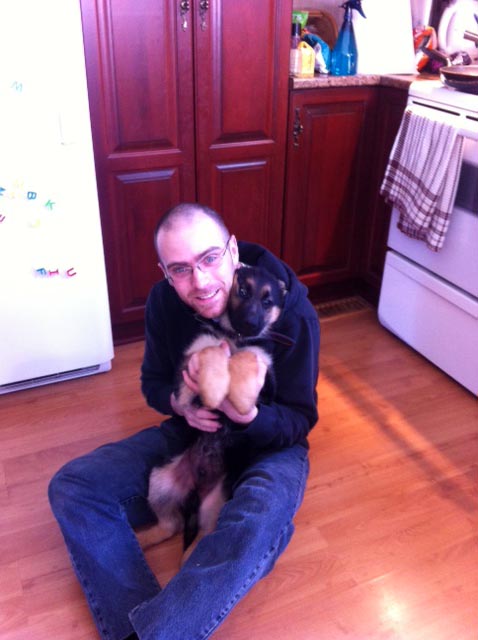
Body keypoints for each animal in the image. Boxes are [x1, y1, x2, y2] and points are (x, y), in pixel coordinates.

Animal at [146, 265, 287, 563]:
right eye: (242, 290)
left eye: (268, 301)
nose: (250, 324)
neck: (234, 338)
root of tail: (195, 488)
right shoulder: (186, 372)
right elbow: (211, 351)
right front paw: (215, 387)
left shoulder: (267, 380)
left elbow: (248, 357)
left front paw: (241, 398)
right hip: (159, 480)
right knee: (170, 525)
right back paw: (143, 539)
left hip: (215, 503)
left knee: (201, 534)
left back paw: (188, 558)